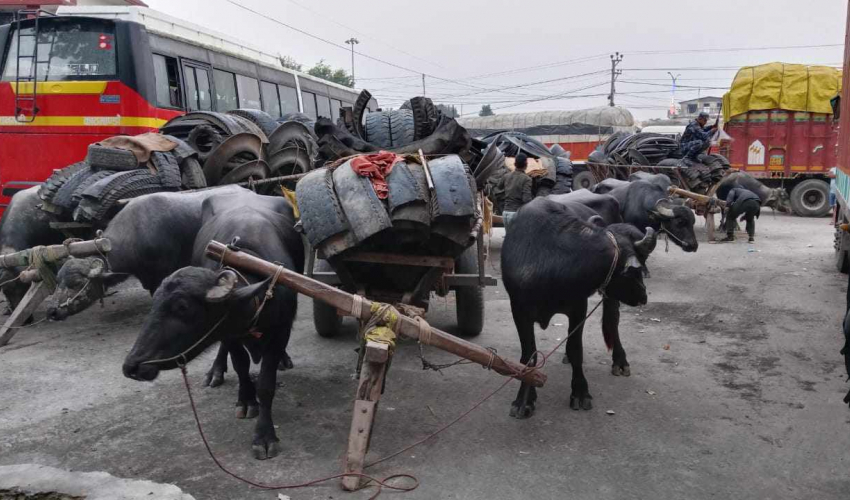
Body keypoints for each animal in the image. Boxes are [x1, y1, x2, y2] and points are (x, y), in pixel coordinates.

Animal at [122, 189, 302, 458]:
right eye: (155, 302)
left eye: (182, 307)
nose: (132, 366)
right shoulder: (228, 332)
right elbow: (240, 365)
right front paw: (246, 400)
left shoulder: (281, 330)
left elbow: (266, 385)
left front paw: (264, 436)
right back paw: (215, 372)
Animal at [504, 196, 656, 418]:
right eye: (636, 271)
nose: (643, 296)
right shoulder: (519, 310)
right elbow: (528, 355)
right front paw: (524, 399)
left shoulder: (578, 308)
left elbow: (576, 349)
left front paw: (580, 392)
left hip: (611, 298)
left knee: (613, 322)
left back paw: (620, 362)